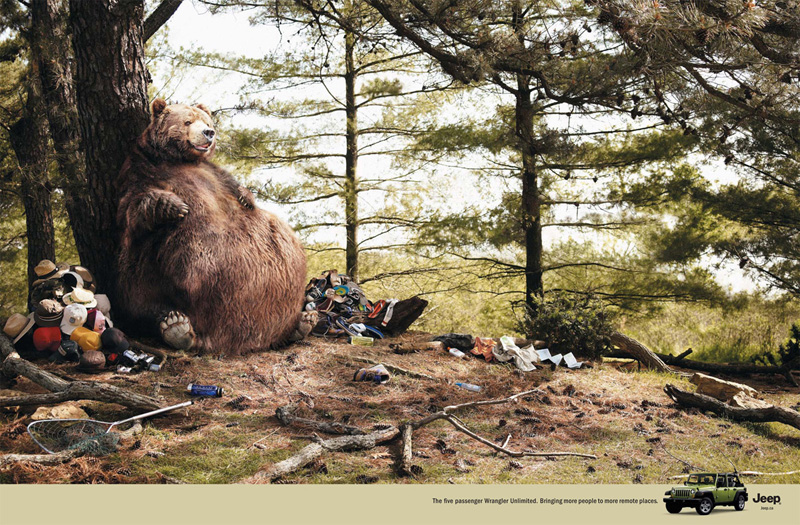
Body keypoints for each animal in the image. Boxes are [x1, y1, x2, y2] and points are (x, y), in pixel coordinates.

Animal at [116, 99, 312, 355]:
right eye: (187, 121)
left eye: (207, 121)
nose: (209, 133)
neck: (180, 159)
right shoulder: (139, 170)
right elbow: (134, 207)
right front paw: (173, 205)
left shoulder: (214, 172)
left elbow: (233, 185)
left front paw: (246, 197)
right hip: (151, 268)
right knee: (140, 295)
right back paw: (176, 327)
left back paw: (302, 323)